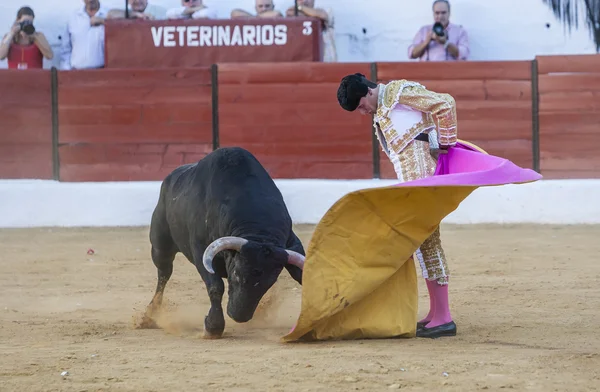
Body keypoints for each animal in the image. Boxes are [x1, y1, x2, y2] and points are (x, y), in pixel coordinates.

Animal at [139, 147, 304, 336]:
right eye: (236, 274)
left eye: (270, 283)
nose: (238, 316)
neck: (256, 231)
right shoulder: (200, 250)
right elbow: (215, 285)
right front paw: (213, 327)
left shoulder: (291, 243)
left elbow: (302, 275)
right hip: (160, 246)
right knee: (164, 274)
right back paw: (149, 317)